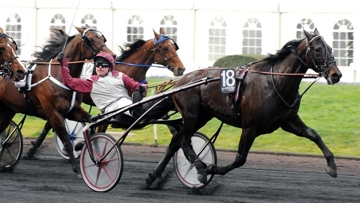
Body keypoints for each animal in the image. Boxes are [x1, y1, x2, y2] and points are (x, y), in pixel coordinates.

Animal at [0, 25, 114, 174]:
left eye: (103, 38)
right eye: (90, 39)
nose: (112, 56)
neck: (61, 76)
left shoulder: (73, 111)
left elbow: (92, 123)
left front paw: (87, 148)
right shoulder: (54, 113)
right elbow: (67, 141)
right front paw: (77, 168)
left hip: (8, 110)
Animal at [26, 27, 186, 155]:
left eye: (174, 47)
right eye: (165, 48)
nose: (181, 69)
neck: (128, 70)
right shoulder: (109, 110)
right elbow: (100, 129)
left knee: (51, 121)